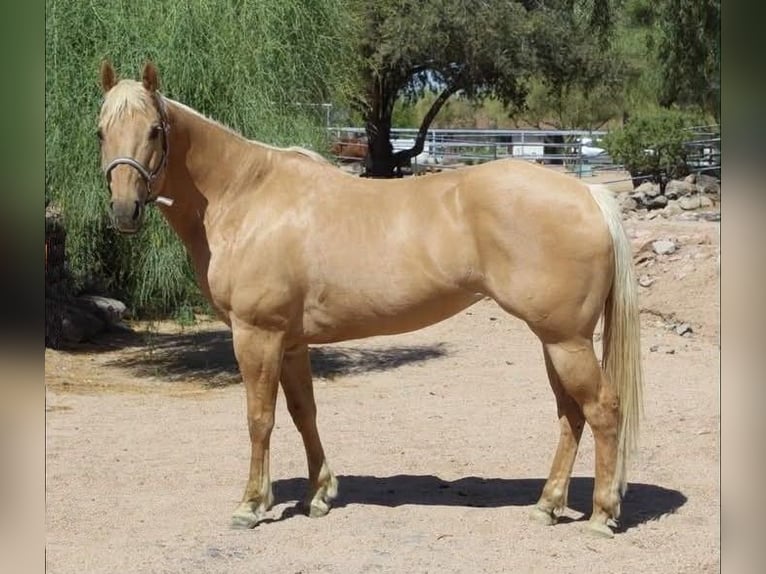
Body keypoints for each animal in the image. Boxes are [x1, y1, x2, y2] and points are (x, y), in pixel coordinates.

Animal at [97, 61, 643, 538]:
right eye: (102, 132)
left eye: (154, 131)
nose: (125, 211)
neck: (246, 198)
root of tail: (589, 194)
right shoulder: (291, 342)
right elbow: (303, 412)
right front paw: (319, 494)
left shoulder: (257, 335)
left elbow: (260, 419)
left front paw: (251, 505)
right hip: (554, 340)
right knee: (571, 414)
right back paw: (548, 506)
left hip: (566, 340)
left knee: (602, 409)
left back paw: (601, 515)